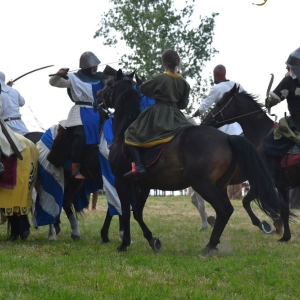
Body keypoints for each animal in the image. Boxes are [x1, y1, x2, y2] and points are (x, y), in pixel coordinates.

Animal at [200, 84, 298, 232]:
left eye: (219, 102)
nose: (205, 122)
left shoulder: (262, 183)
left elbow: (246, 201)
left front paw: (263, 224)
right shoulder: (280, 186)